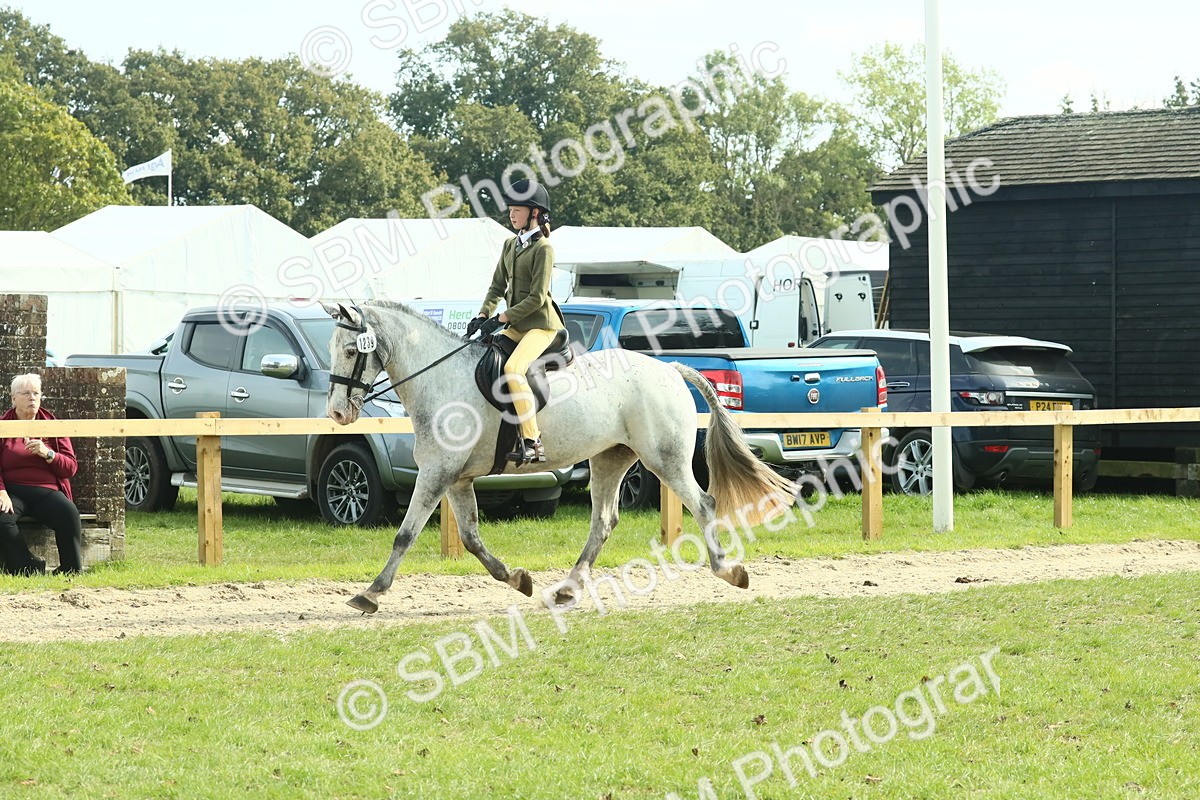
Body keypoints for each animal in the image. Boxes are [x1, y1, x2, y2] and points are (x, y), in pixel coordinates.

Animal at [322, 301, 796, 614]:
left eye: (350, 351)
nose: (338, 413)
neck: (441, 378)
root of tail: (668, 367)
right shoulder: (455, 478)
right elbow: (472, 539)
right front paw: (519, 580)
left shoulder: (436, 474)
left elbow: (405, 534)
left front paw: (370, 593)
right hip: (610, 460)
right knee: (603, 521)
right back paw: (567, 589)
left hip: (666, 459)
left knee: (703, 503)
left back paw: (729, 571)